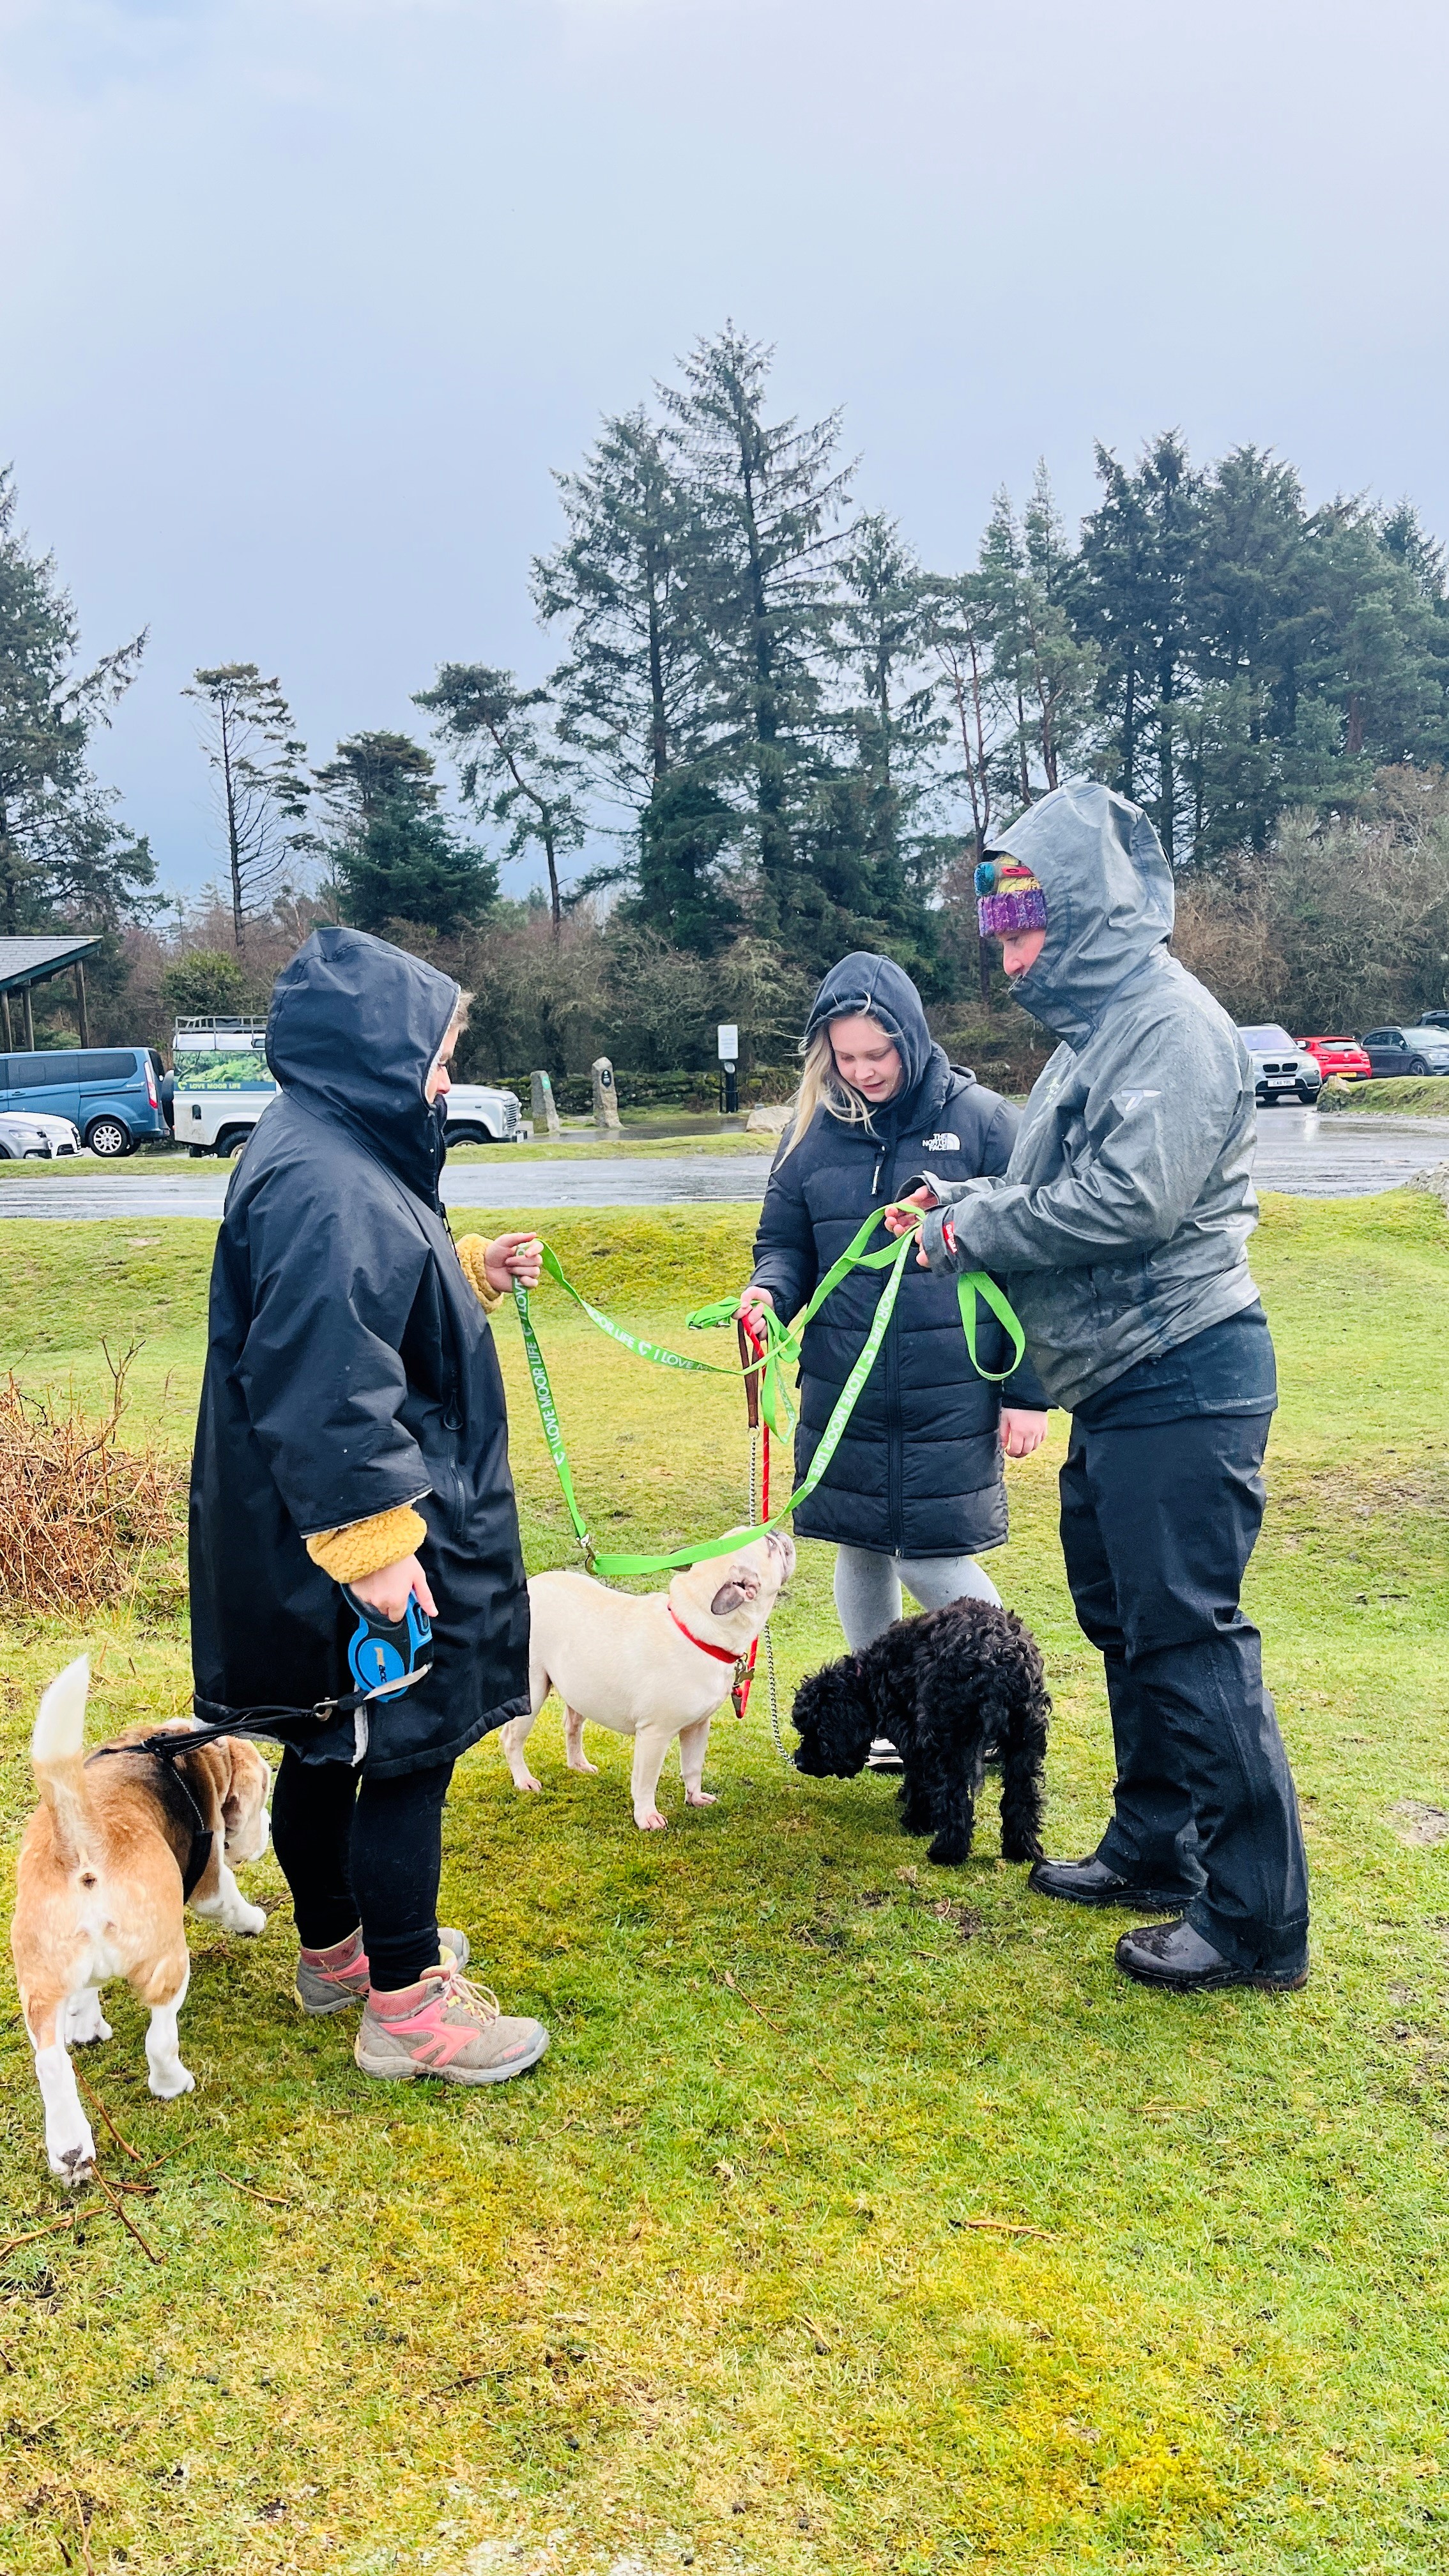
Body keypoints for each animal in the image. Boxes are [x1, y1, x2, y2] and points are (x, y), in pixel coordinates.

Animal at [783, 1597, 1041, 1865]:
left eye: (817, 1732)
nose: (800, 1762)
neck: (871, 1677)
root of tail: (996, 1656)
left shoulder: (915, 1739)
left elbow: (919, 1782)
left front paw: (918, 1821)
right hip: (1024, 1743)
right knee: (1021, 1798)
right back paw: (1021, 1849)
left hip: (951, 1743)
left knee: (957, 1800)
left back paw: (947, 1852)